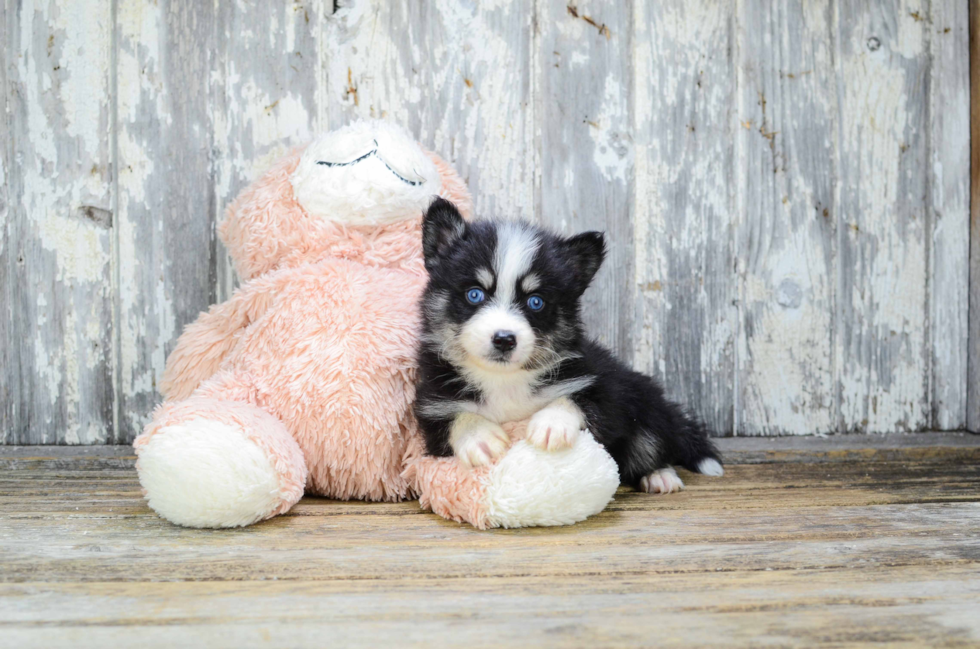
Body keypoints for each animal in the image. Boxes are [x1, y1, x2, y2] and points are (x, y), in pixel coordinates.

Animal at [412, 197, 720, 492]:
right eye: (474, 294)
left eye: (536, 301)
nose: (504, 339)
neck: (504, 379)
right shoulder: (431, 404)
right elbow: (454, 418)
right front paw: (480, 438)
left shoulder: (604, 386)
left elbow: (577, 399)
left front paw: (552, 423)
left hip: (645, 399)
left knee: (651, 443)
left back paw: (659, 476)